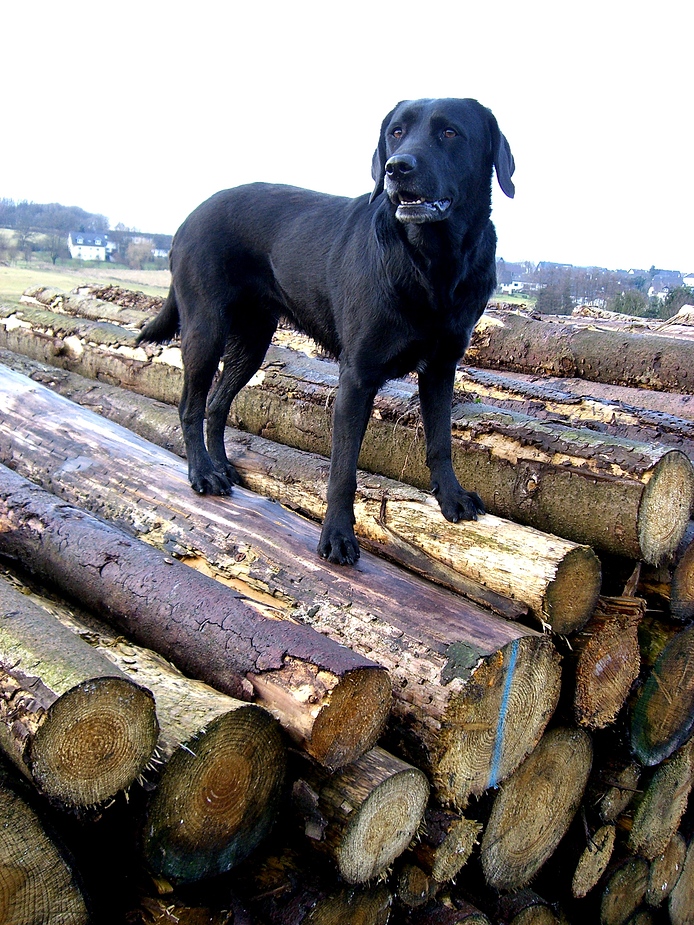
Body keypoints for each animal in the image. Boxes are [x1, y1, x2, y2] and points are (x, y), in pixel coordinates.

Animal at [137, 99, 516, 564]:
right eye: (396, 132)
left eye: (450, 133)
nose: (396, 167)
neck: (432, 264)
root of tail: (189, 217)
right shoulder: (356, 378)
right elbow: (343, 469)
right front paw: (336, 536)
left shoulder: (442, 368)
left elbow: (441, 440)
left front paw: (451, 497)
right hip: (205, 331)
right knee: (190, 406)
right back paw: (204, 473)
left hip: (253, 341)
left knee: (217, 405)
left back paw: (221, 465)